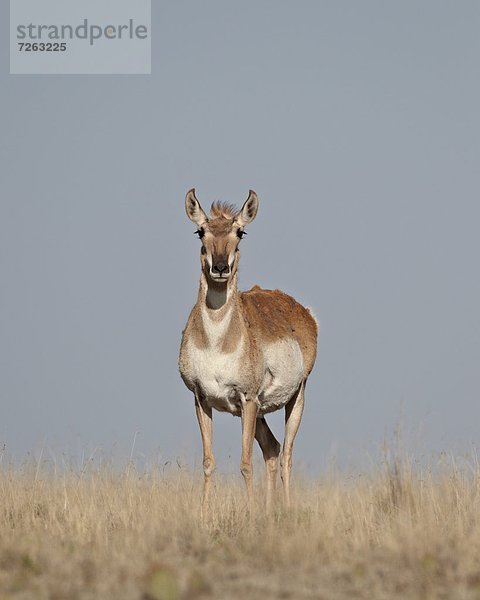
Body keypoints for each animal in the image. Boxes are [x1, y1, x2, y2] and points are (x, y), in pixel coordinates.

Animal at [178, 190, 316, 512]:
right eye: (200, 231)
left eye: (239, 232)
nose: (219, 267)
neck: (217, 344)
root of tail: (302, 311)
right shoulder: (201, 399)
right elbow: (208, 462)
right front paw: (204, 515)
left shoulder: (248, 399)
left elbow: (245, 464)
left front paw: (251, 514)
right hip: (260, 411)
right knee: (272, 449)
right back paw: (269, 510)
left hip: (295, 398)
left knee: (286, 455)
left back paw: (284, 509)